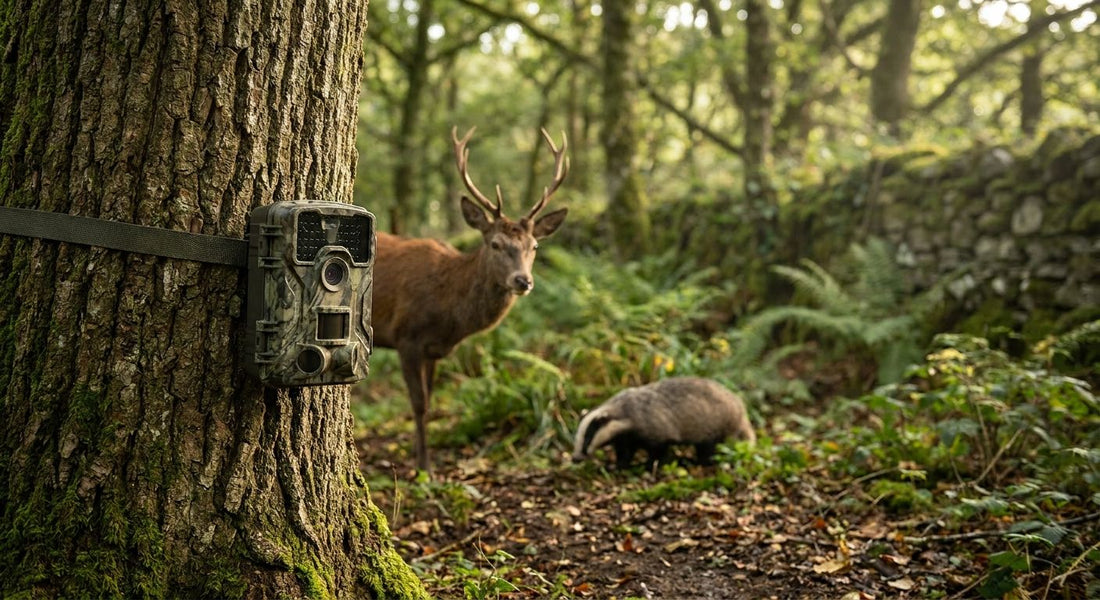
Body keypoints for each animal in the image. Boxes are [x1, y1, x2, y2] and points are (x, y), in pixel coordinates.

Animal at [371, 126, 569, 472]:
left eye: (534, 246)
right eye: (495, 244)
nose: (523, 280)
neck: (449, 314)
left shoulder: (433, 350)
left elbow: (431, 400)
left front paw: (422, 456)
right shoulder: (405, 336)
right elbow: (419, 404)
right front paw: (424, 467)